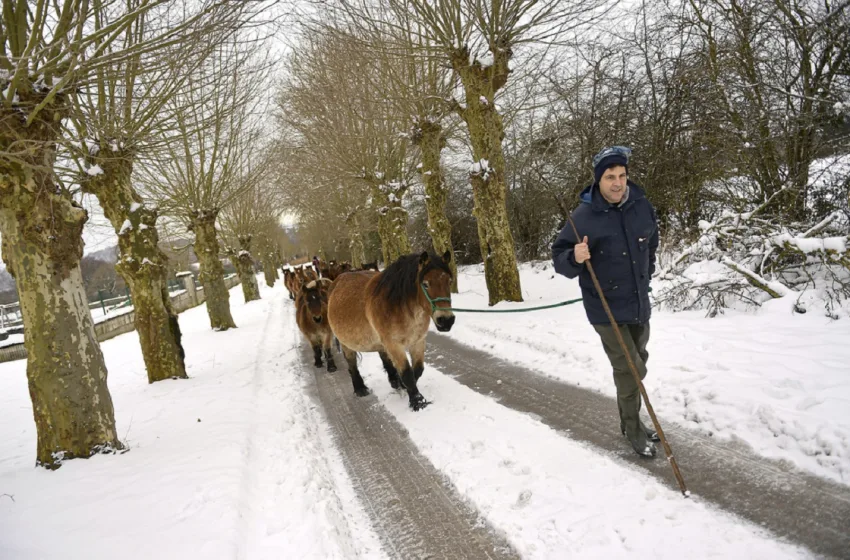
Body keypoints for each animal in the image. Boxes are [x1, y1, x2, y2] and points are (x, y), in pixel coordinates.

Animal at [328, 252, 454, 410]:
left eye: (449, 281)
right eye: (425, 284)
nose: (446, 320)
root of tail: (337, 281)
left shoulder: (418, 341)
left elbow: (417, 370)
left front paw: (405, 388)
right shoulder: (394, 344)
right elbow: (407, 373)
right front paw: (418, 403)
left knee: (384, 358)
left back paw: (394, 381)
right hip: (347, 344)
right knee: (352, 363)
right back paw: (360, 388)